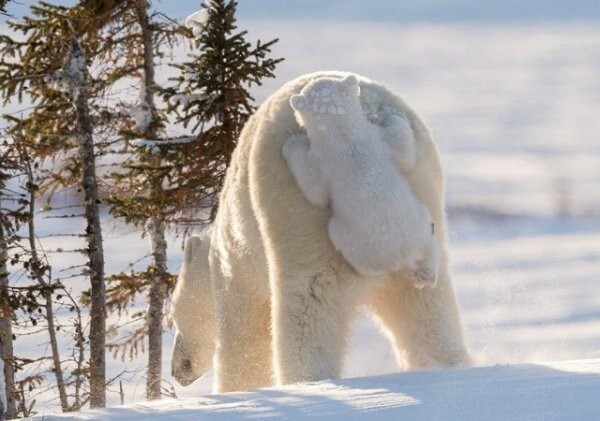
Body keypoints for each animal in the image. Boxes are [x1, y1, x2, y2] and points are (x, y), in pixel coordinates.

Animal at [284, 74, 438, 286]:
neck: (346, 136)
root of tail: (401, 256)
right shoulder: (377, 141)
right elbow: (404, 152)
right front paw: (389, 113)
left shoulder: (326, 160)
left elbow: (316, 193)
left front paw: (291, 143)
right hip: (416, 227)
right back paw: (426, 276)